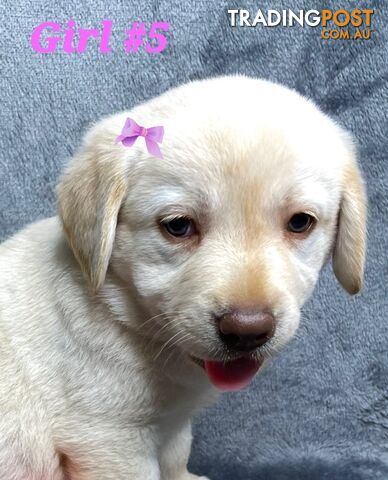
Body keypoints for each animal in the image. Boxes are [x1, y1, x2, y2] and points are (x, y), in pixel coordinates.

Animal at [0, 77, 366, 478]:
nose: (247, 331)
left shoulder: (171, 425)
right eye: (178, 226)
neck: (123, 318)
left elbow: (177, 452)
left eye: (300, 222)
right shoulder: (109, 439)